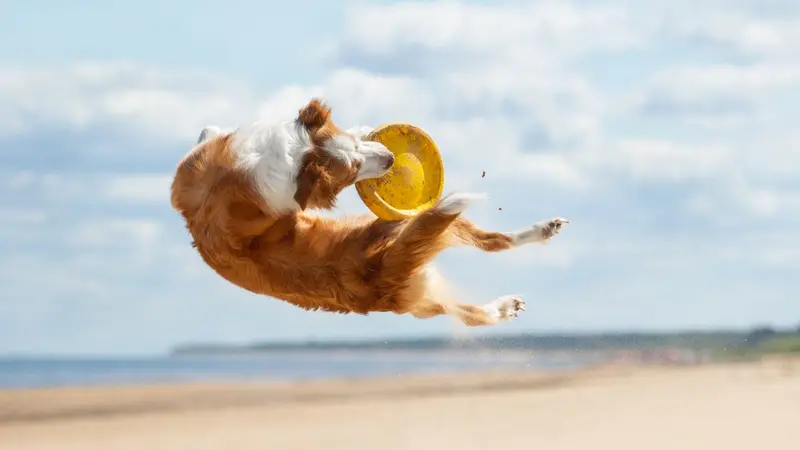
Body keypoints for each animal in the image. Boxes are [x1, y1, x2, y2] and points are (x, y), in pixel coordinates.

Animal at [169, 98, 568, 326]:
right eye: (352, 171)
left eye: (356, 147)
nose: (391, 158)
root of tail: (381, 272)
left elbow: (208, 129)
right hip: (411, 244)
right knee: (476, 296)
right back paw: (507, 301)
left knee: (489, 251)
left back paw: (541, 235)